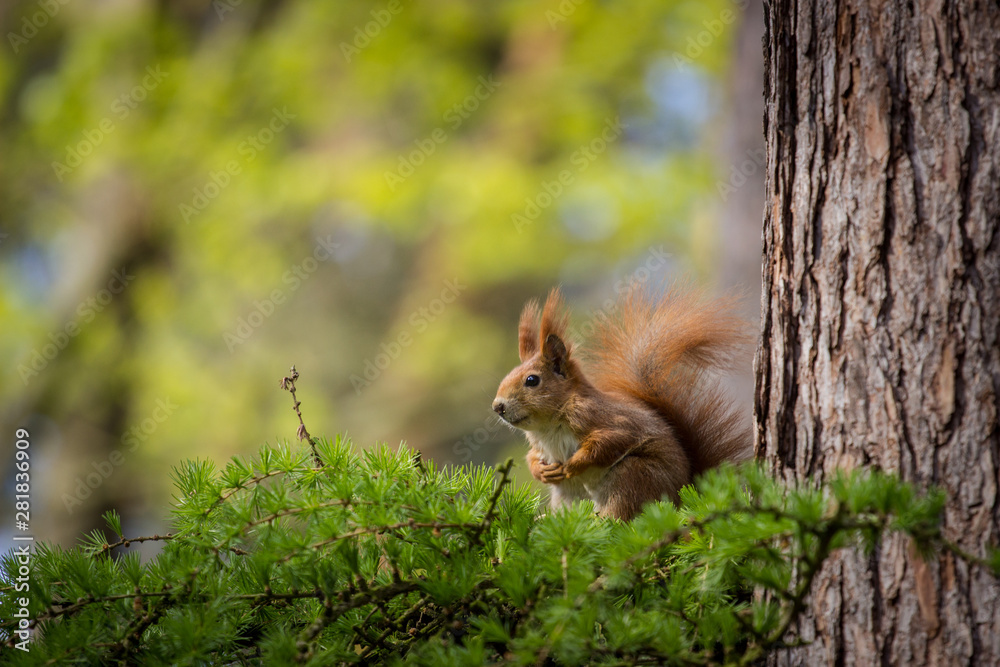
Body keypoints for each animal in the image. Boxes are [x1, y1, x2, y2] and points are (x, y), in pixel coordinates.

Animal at [492, 285, 752, 521]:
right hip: (568, 495)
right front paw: (541, 470)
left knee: (623, 514)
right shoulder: (538, 444)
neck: (547, 426)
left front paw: (573, 465)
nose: (497, 407)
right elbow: (532, 456)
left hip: (633, 476)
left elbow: (609, 442)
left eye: (532, 380)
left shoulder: (600, 417)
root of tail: (685, 492)